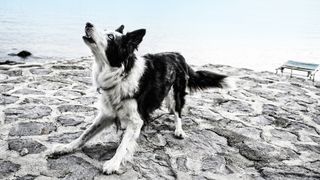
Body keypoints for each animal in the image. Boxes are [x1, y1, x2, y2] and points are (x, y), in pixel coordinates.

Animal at [47, 22, 228, 174]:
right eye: (105, 29)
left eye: (110, 37)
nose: (88, 24)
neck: (119, 74)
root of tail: (178, 54)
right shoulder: (108, 113)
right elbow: (85, 134)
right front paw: (66, 147)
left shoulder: (136, 120)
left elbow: (123, 145)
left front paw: (113, 163)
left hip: (176, 93)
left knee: (178, 112)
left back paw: (179, 130)